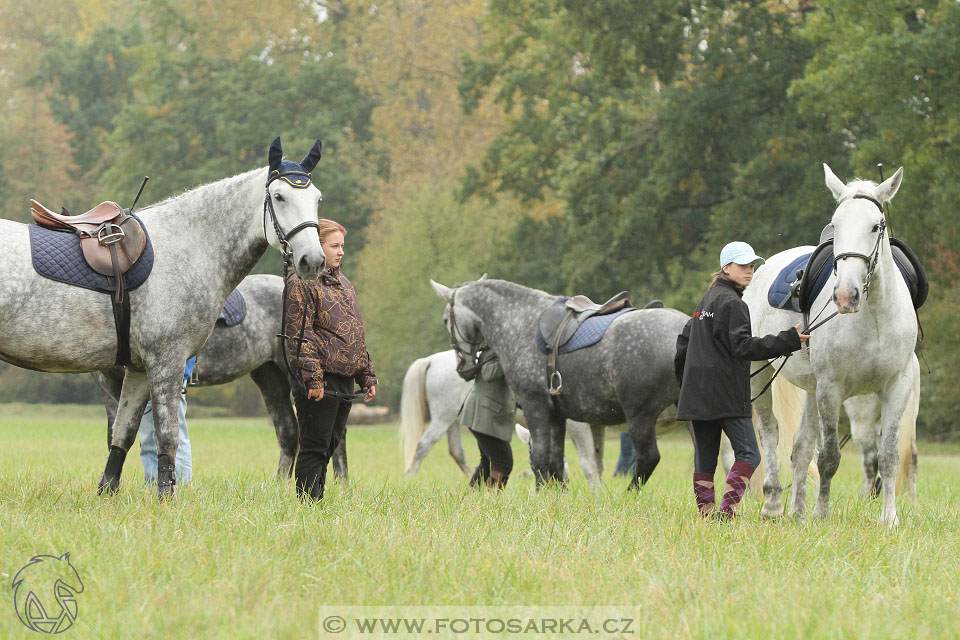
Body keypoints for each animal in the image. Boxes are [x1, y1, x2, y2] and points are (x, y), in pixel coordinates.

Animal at [0, 136, 326, 496]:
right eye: (279, 197)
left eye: (317, 199)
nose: (313, 260)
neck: (186, 247)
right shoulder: (163, 362)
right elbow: (163, 438)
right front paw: (164, 497)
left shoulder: (139, 368)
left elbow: (124, 435)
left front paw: (110, 493)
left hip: (275, 374)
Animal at [430, 278, 688, 488]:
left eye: (445, 320)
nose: (462, 368)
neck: (521, 322)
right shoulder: (557, 416)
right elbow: (554, 463)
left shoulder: (536, 407)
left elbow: (540, 460)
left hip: (640, 416)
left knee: (648, 459)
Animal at [748, 164, 920, 524]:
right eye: (836, 224)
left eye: (876, 225)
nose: (844, 295)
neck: (873, 316)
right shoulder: (831, 389)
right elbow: (828, 457)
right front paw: (822, 514)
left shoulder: (897, 387)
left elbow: (889, 457)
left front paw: (889, 518)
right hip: (760, 373)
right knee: (770, 434)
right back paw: (773, 503)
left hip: (811, 390)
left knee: (800, 448)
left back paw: (797, 512)